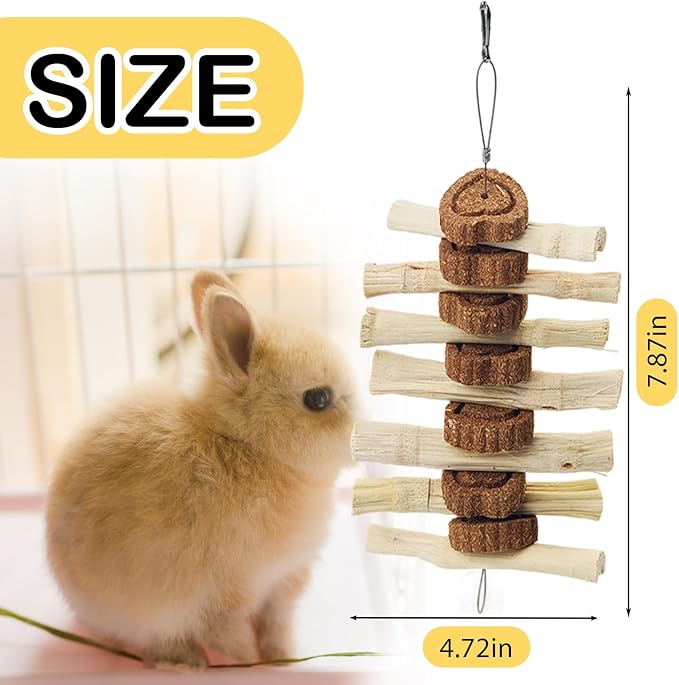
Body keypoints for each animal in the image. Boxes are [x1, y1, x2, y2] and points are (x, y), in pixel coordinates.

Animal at [45, 270, 357, 671]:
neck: (247, 445)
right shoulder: (229, 593)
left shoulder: (284, 581)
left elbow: (276, 624)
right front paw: (248, 661)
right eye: (317, 399)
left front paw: (282, 659)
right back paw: (185, 663)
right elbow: (228, 632)